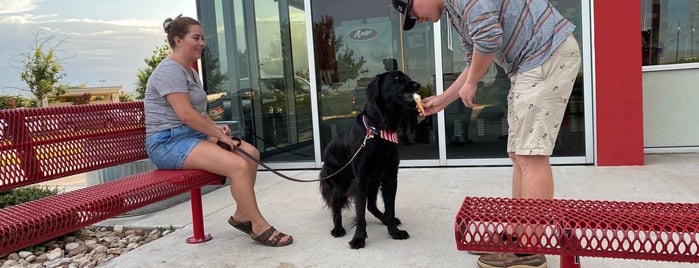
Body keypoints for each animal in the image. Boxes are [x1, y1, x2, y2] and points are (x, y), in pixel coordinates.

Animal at [318, 70, 422, 249]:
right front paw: (359, 238)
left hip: (373, 183)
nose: (418, 85)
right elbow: (360, 214)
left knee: (372, 205)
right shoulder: (361, 179)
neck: (379, 129)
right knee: (336, 207)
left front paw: (394, 232)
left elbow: (390, 208)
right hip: (339, 184)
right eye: (397, 78)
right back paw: (338, 229)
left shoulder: (389, 178)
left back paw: (386, 220)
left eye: (408, 78)